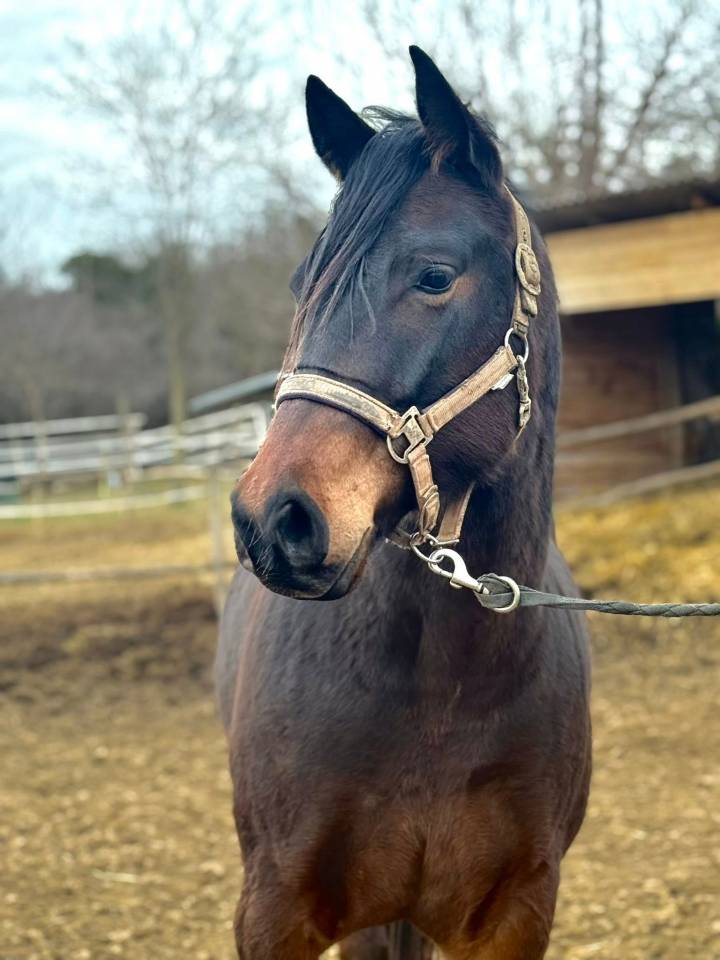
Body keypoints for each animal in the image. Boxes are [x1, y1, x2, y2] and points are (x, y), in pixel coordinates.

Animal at [216, 45, 592, 960]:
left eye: (434, 276)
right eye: (303, 284)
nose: (273, 520)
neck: (442, 688)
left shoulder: (516, 915)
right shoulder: (273, 911)